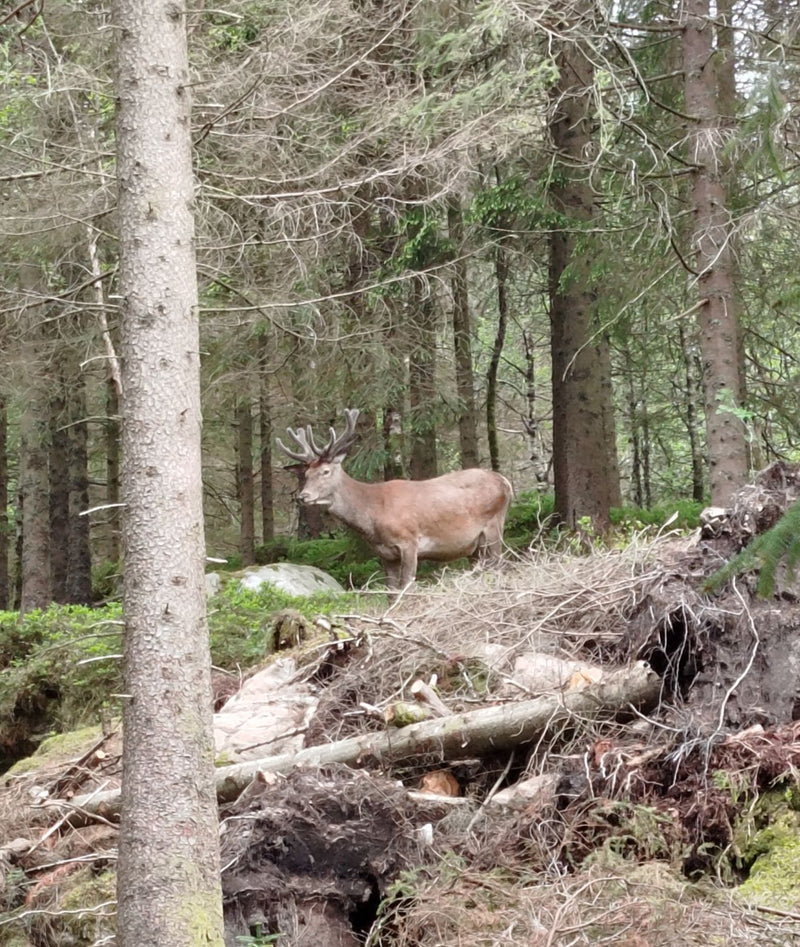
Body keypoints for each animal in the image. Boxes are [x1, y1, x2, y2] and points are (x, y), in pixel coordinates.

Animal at [277, 409, 512, 589]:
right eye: (306, 474)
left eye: (325, 471)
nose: (303, 496)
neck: (372, 516)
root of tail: (504, 481)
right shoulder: (385, 554)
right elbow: (391, 590)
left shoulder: (409, 541)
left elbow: (407, 586)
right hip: (474, 546)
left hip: (494, 526)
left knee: (499, 564)